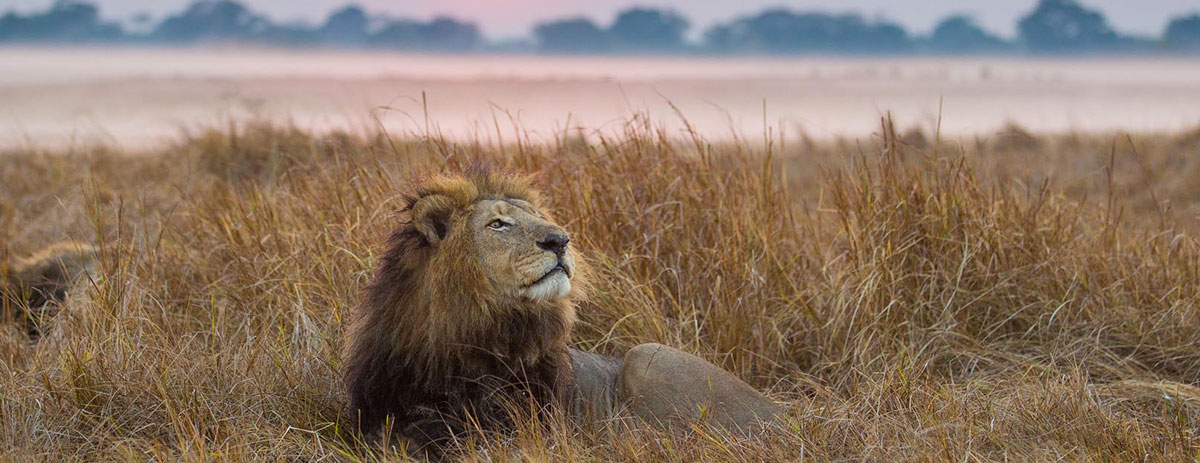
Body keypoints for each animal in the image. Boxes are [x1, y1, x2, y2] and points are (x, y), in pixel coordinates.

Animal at [343, 169, 779, 452]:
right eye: (498, 224)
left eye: (540, 218)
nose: (560, 240)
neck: (477, 338)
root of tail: (779, 412)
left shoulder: (529, 434)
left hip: (645, 355)